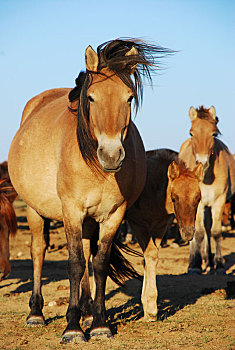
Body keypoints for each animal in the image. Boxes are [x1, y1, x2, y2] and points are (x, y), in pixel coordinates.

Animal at [8, 37, 173, 342]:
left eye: (129, 98)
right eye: (92, 97)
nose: (111, 155)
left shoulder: (113, 215)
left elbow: (98, 263)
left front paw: (98, 323)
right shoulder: (71, 212)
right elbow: (73, 264)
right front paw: (73, 328)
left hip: (88, 220)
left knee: (86, 253)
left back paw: (84, 311)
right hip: (36, 211)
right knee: (38, 251)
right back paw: (36, 313)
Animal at [125, 149, 204, 322]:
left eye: (198, 198)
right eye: (174, 198)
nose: (188, 233)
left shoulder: (160, 226)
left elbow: (149, 258)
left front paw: (147, 307)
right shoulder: (137, 224)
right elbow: (150, 255)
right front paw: (151, 308)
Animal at [178, 105, 235, 274]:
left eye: (213, 134)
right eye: (191, 133)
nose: (202, 163)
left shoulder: (219, 201)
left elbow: (215, 232)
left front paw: (219, 265)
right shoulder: (199, 203)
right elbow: (198, 233)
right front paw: (196, 265)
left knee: (209, 231)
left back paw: (210, 262)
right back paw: (193, 262)